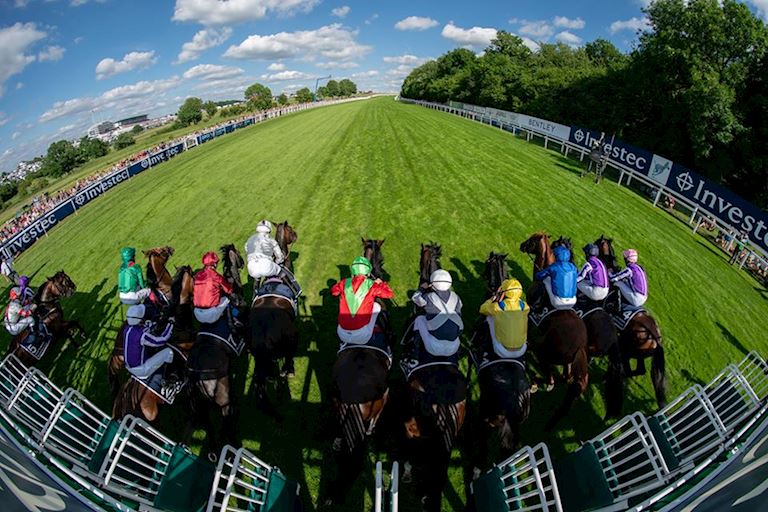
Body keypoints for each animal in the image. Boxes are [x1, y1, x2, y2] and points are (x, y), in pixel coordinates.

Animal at [520, 234, 592, 430]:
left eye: (532, 240)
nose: (522, 245)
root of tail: (580, 348)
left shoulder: (531, 313)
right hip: (566, 363)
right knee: (564, 378)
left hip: (546, 352)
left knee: (550, 375)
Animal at [592, 236, 664, 408]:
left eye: (597, 242)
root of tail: (656, 339)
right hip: (639, 354)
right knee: (639, 370)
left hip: (628, 349)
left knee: (627, 368)